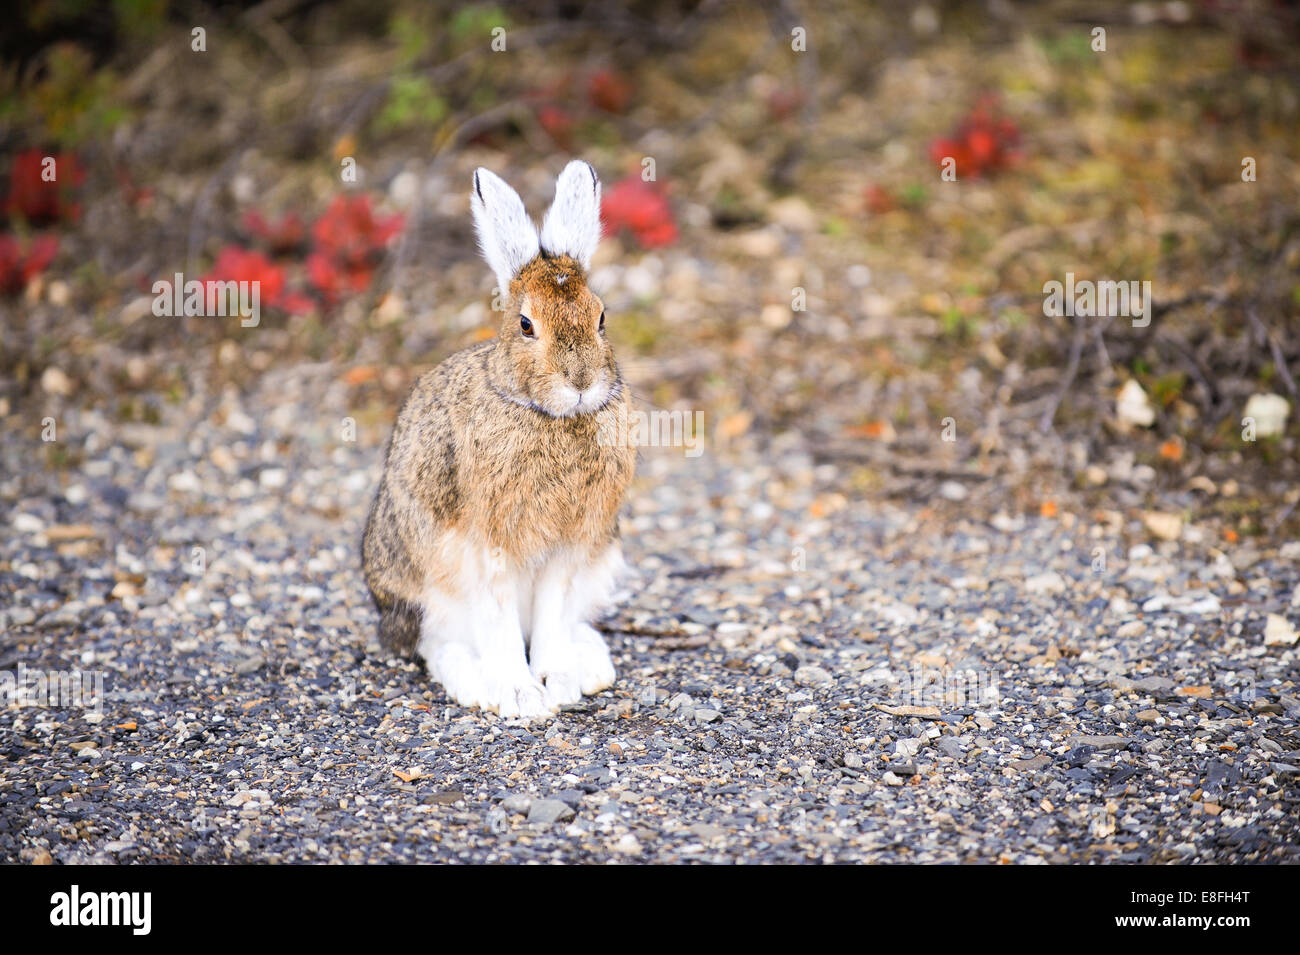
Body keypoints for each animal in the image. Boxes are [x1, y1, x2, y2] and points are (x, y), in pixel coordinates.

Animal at [362, 160, 636, 719]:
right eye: (526, 325)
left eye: (601, 317)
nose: (580, 382)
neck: (551, 417)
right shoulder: (488, 546)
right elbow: (500, 621)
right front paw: (520, 695)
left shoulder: (571, 547)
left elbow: (551, 615)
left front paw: (558, 680)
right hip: (430, 592)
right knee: (437, 644)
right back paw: (479, 684)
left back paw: (589, 663)